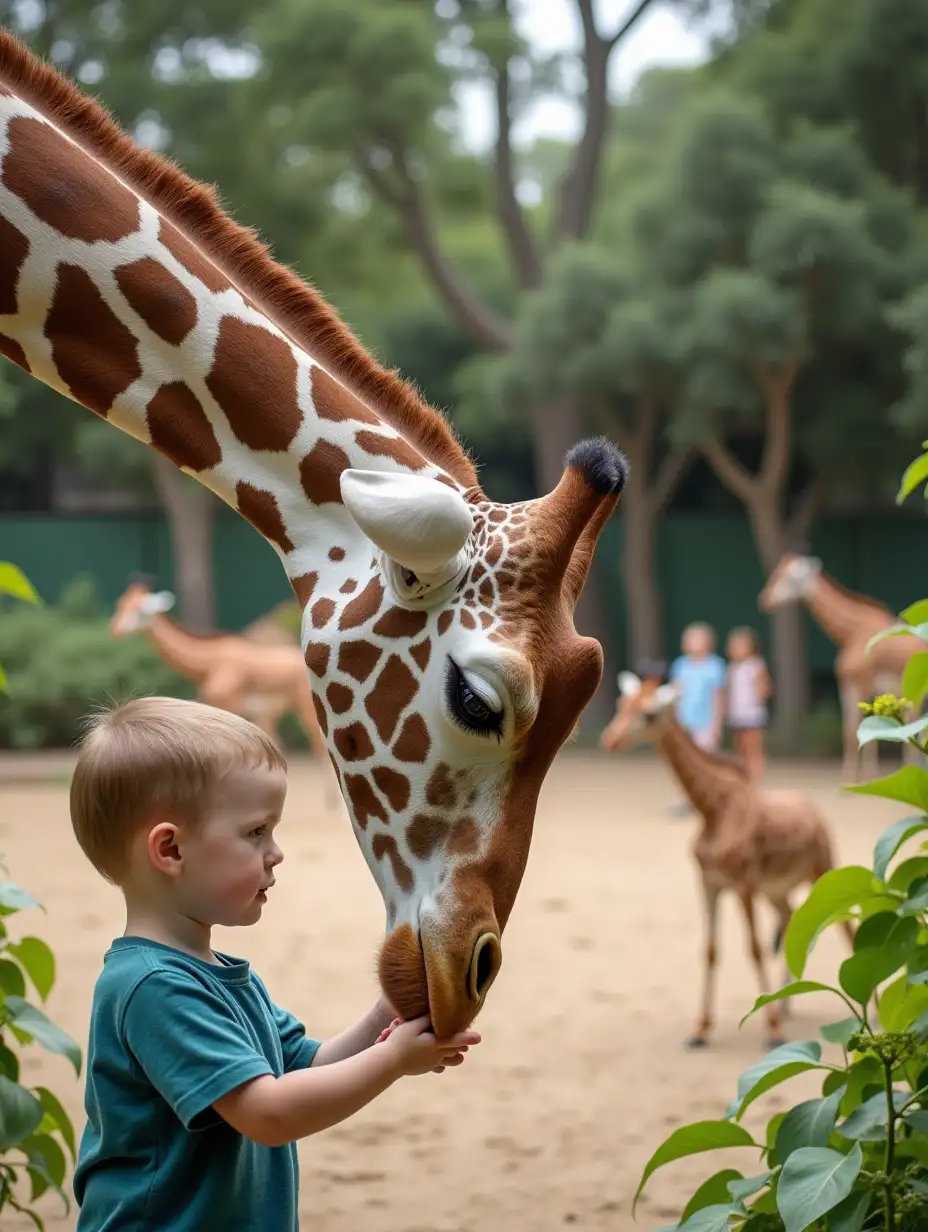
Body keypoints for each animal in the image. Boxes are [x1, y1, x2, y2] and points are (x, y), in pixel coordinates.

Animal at [108, 574, 332, 788]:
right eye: (121, 603)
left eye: (140, 610)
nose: (115, 631)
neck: (209, 662)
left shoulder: (229, 704)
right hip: (273, 713)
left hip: (306, 709)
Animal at [596, 675, 842, 1049]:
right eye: (623, 704)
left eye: (650, 713)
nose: (610, 739)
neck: (713, 812)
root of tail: (817, 814)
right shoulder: (709, 882)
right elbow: (710, 951)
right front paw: (700, 1030)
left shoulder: (744, 884)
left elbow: (754, 949)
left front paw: (772, 1032)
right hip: (776, 889)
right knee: (789, 919)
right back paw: (786, 1004)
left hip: (823, 868)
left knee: (847, 924)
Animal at [754, 554, 921, 783]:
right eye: (777, 571)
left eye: (792, 577)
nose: (765, 599)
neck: (850, 633)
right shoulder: (846, 685)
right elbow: (849, 731)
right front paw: (848, 778)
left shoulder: (864, 684)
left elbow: (869, 730)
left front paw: (868, 777)